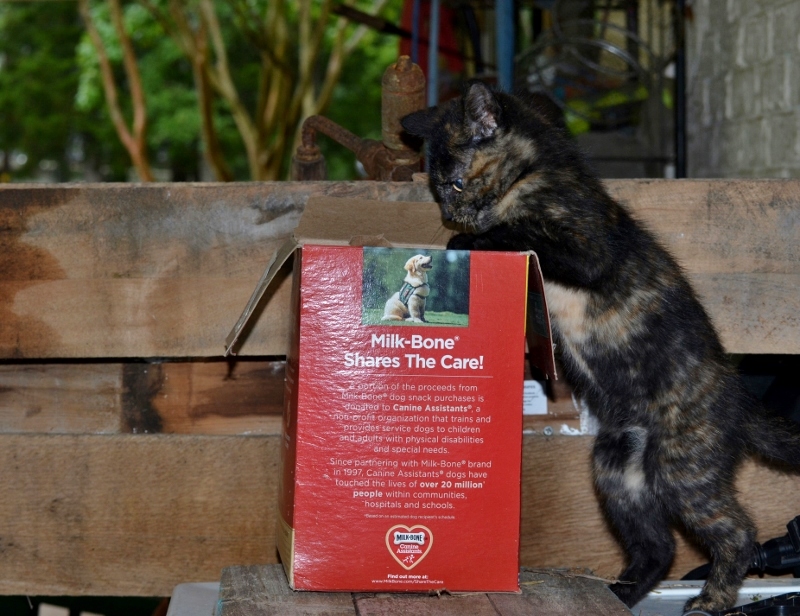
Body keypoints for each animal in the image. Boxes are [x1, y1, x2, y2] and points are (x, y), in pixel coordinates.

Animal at [400, 81, 800, 613]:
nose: (449, 215)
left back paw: (710, 600)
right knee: (659, 546)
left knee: (738, 533)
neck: (534, 175)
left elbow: (521, 232)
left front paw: (469, 242)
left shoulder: (589, 248)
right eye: (437, 188)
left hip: (682, 464)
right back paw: (620, 593)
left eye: (457, 184)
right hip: (618, 467)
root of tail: (739, 400)